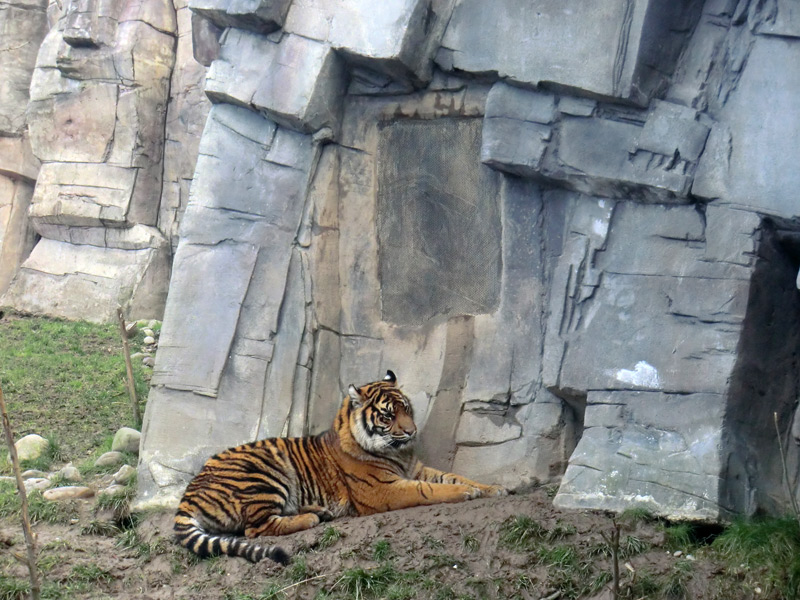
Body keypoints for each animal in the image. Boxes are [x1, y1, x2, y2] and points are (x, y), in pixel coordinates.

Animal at [174, 370, 506, 564]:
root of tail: (187, 495)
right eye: (388, 416)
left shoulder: (416, 469)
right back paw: (310, 518)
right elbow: (428, 490)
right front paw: (465, 494)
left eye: (406, 409)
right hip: (265, 472)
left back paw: (318, 511)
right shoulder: (383, 490)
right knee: (256, 528)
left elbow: (452, 475)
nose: (412, 432)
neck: (399, 454)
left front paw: (495, 488)